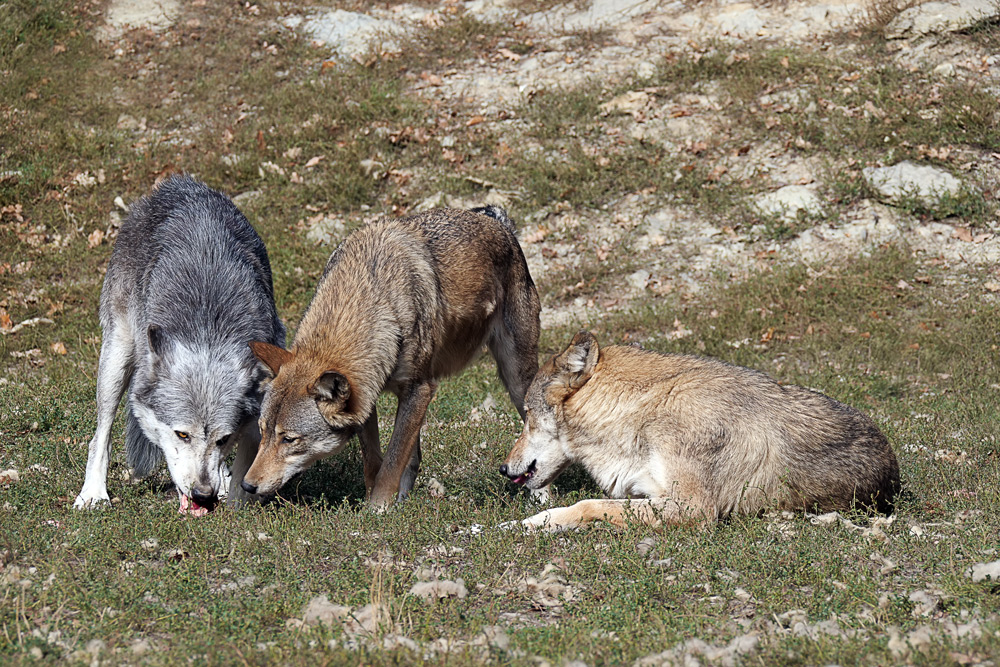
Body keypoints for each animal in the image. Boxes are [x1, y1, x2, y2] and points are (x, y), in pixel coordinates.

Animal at [73, 175, 286, 516]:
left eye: (224, 439)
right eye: (182, 434)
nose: (203, 495)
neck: (209, 329)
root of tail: (179, 183)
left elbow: (247, 457)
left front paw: (236, 504)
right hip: (117, 358)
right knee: (100, 435)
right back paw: (93, 494)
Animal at [242, 207, 540, 506]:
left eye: (289, 439)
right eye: (263, 431)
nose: (247, 485)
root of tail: (496, 220)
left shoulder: (419, 389)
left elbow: (392, 463)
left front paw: (377, 509)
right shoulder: (365, 399)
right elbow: (374, 462)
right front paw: (376, 506)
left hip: (516, 381)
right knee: (414, 457)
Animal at [500, 330, 900, 532]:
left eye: (527, 415)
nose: (503, 469)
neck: (643, 410)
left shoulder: (695, 507)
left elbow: (587, 505)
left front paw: (528, 523)